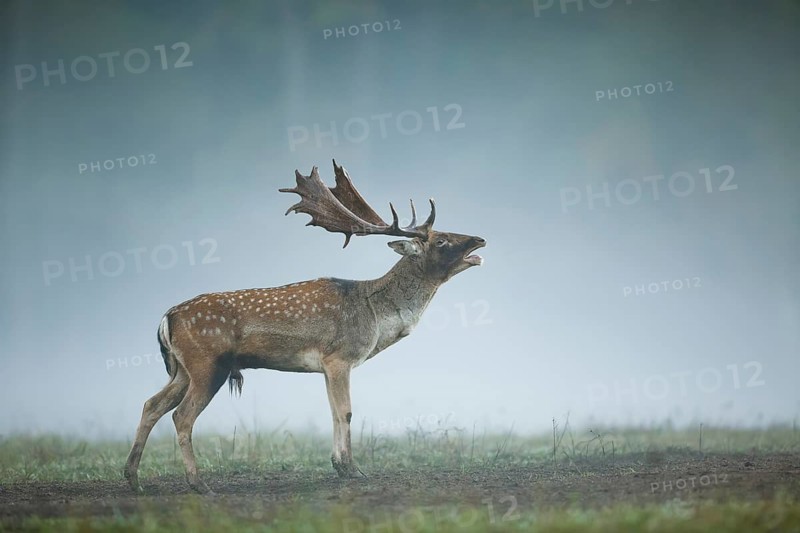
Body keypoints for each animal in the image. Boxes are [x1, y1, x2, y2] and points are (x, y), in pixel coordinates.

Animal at [123, 160, 486, 494]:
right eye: (441, 240)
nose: (479, 240)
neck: (374, 314)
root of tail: (167, 317)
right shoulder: (339, 356)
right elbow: (346, 412)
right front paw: (353, 470)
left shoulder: (325, 366)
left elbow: (333, 412)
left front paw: (339, 465)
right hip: (207, 363)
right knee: (181, 416)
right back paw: (199, 484)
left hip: (182, 369)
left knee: (151, 404)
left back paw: (133, 479)